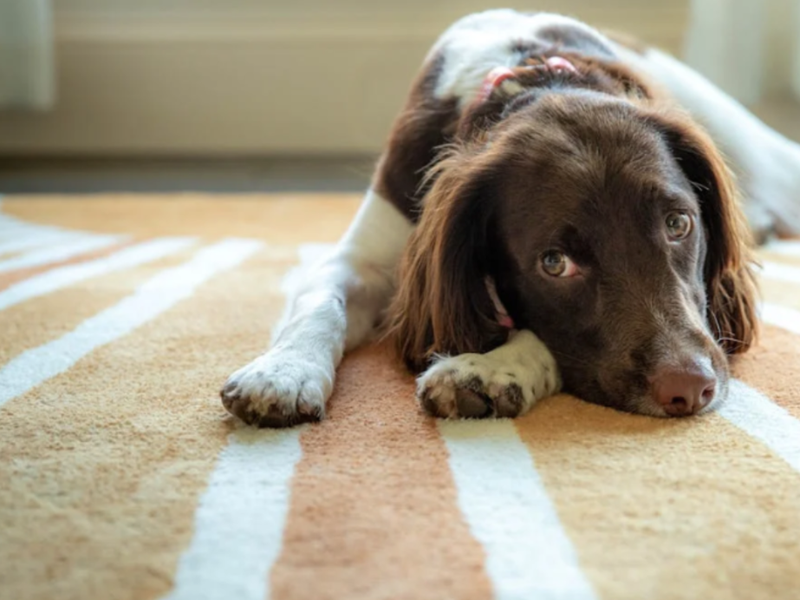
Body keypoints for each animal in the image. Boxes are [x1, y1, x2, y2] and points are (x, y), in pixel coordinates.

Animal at [219, 9, 800, 426]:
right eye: (554, 263)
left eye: (678, 224)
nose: (690, 388)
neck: (533, 77)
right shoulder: (369, 254)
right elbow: (322, 301)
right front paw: (283, 370)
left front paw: (488, 370)